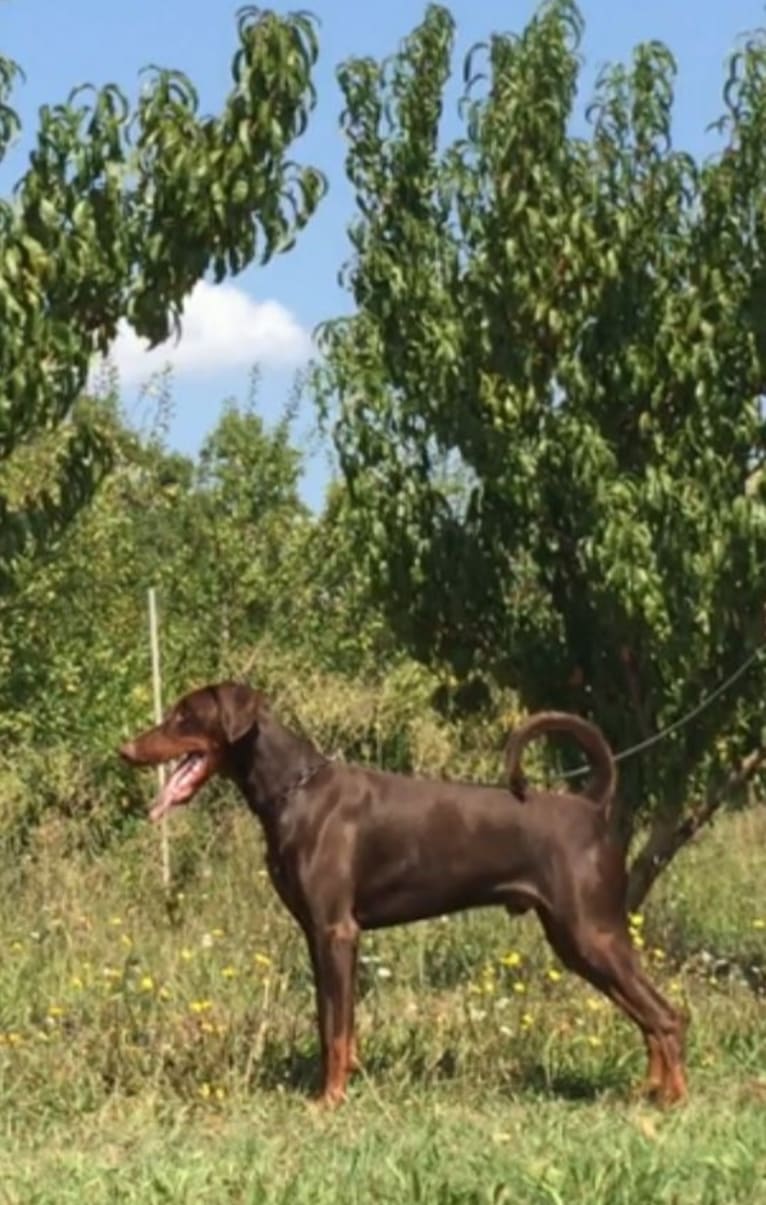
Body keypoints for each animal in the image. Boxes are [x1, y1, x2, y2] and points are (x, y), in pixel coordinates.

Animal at [121, 684, 688, 1103]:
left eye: (183, 716)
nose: (125, 750)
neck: (295, 791)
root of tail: (591, 807)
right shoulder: (316, 935)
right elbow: (329, 1023)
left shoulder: (337, 931)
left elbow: (337, 1030)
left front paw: (329, 1101)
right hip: (577, 940)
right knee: (647, 1017)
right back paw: (649, 1091)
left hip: (591, 931)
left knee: (667, 1015)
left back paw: (673, 1099)